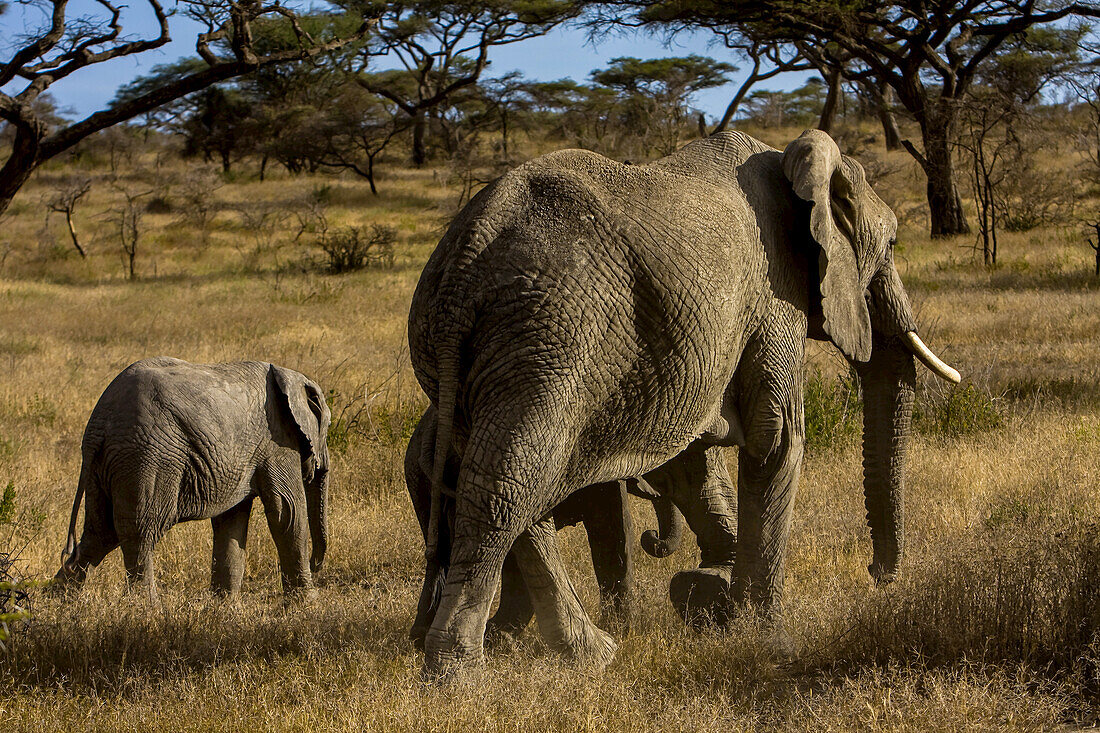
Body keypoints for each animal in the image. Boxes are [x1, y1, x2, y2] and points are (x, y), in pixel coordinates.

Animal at [54, 354, 330, 598]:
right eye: (327, 427)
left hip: (105, 466)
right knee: (141, 531)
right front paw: (308, 603)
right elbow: (287, 511)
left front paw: (224, 605)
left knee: (100, 532)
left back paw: (60, 600)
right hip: (149, 459)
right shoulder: (277, 441)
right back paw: (147, 608)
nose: (316, 565)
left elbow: (231, 519)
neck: (288, 375)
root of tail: (99, 422)